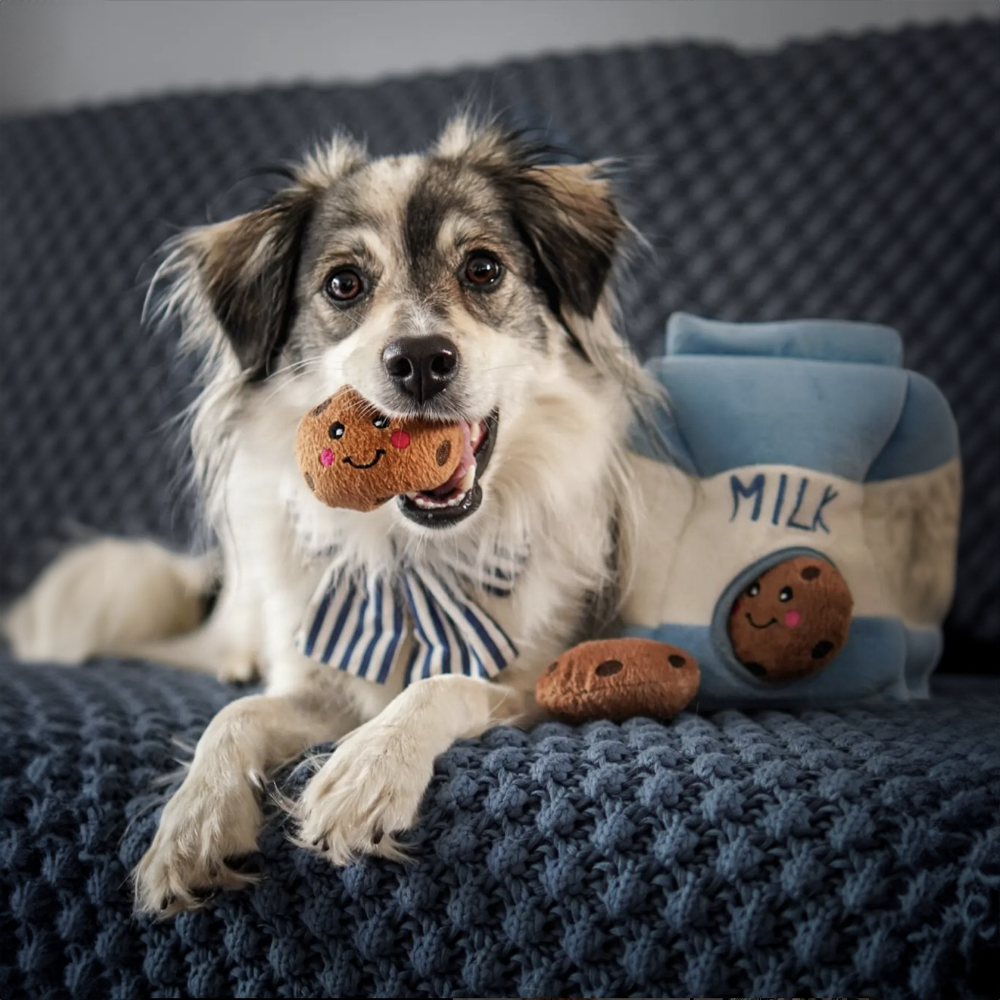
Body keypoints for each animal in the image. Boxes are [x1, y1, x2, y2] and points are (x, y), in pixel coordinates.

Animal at [0, 115, 652, 916]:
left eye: (483, 269)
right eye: (344, 283)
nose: (421, 359)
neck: (413, 558)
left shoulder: (540, 682)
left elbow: (443, 685)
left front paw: (368, 770)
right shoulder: (316, 679)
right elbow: (235, 718)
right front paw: (193, 825)